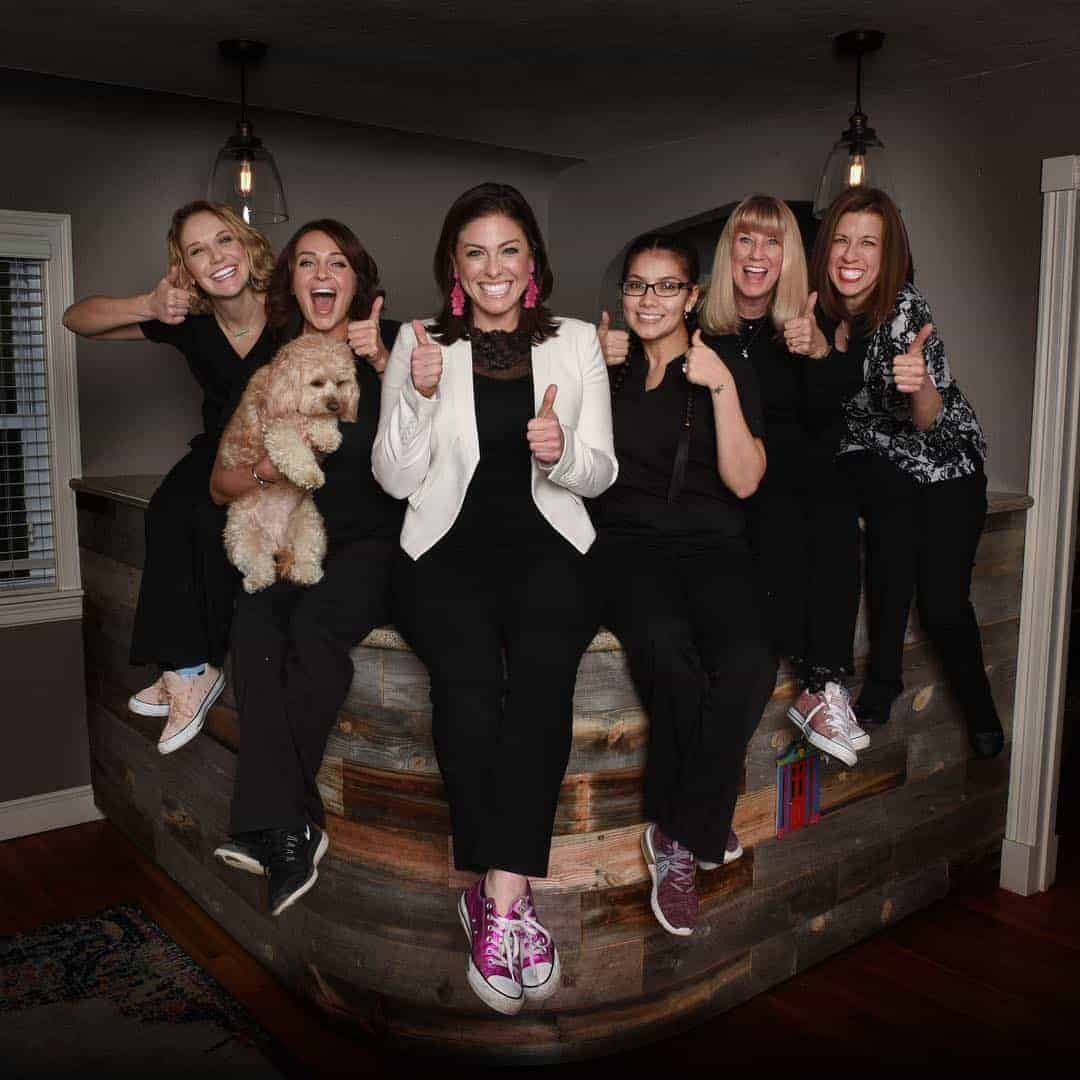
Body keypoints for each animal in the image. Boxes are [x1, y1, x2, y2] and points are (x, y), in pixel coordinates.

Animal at [217, 335, 360, 593]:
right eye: (316, 383)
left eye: (341, 382)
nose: (335, 405)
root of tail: (277, 543)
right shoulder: (277, 428)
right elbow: (292, 448)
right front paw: (310, 474)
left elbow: (319, 420)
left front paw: (327, 435)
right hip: (239, 536)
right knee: (258, 563)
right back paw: (257, 580)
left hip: (310, 527)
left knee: (306, 555)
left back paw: (305, 573)